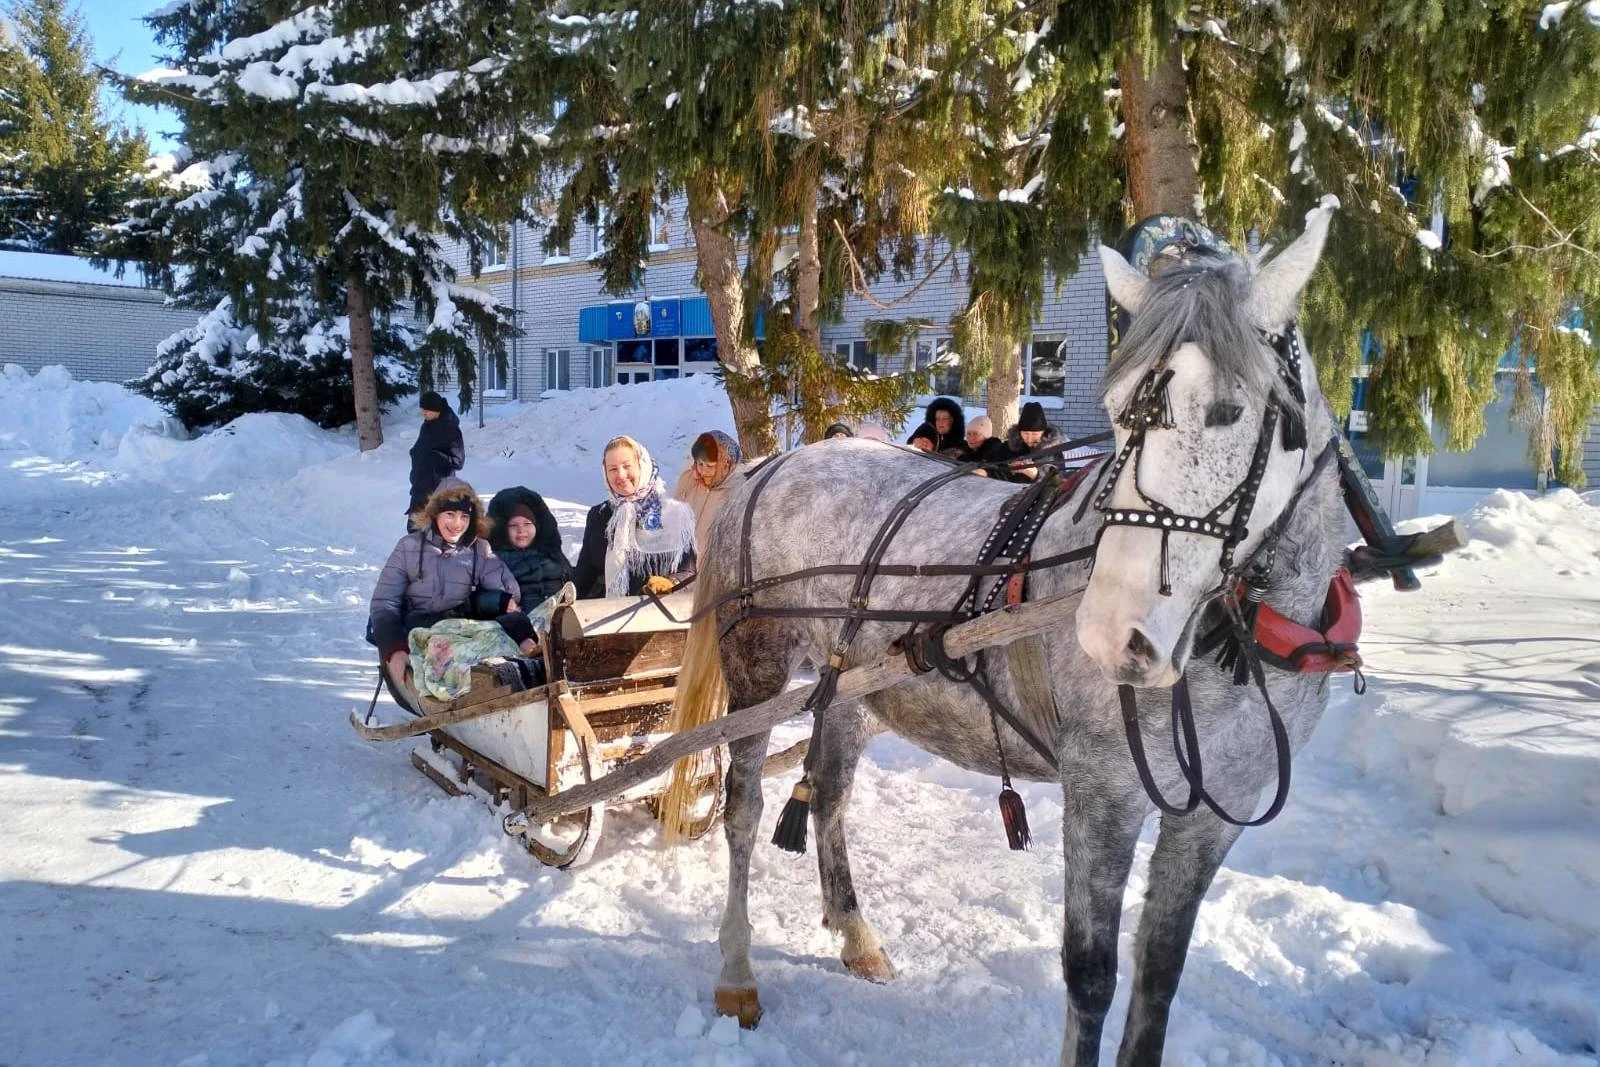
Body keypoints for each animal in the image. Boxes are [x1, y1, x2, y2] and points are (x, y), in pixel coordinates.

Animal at [675, 204, 1350, 1062]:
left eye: (1230, 410)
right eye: (1119, 405)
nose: (1113, 633)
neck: (1237, 641)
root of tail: (770, 464)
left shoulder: (1213, 813)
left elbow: (1159, 976)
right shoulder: (1104, 790)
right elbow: (1091, 977)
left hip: (853, 685)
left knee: (826, 793)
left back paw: (856, 933)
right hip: (757, 670)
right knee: (744, 807)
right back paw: (737, 968)